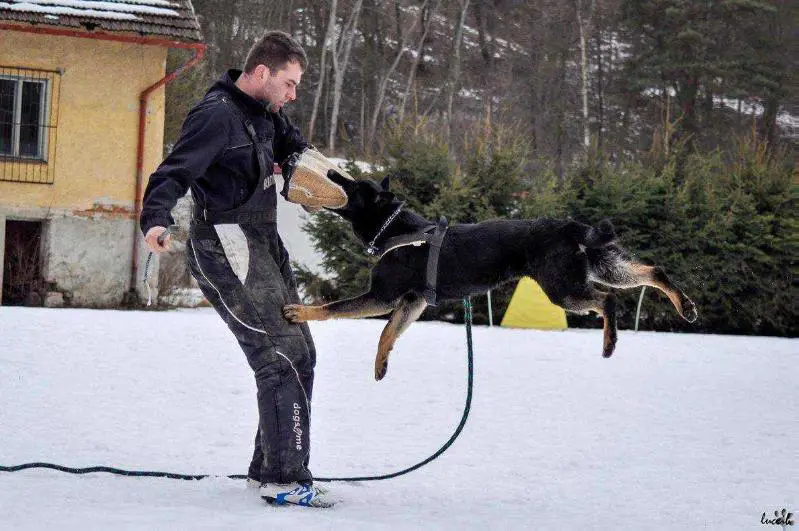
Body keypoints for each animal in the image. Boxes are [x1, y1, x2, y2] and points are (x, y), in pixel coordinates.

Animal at [284, 176, 696, 382]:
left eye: (352, 188)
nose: (331, 173)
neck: (395, 229)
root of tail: (568, 225)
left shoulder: (383, 296)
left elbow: (332, 307)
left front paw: (300, 312)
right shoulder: (412, 303)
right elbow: (387, 333)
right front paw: (380, 366)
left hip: (563, 289)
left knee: (607, 300)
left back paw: (610, 342)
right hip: (600, 266)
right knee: (652, 272)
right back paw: (686, 306)